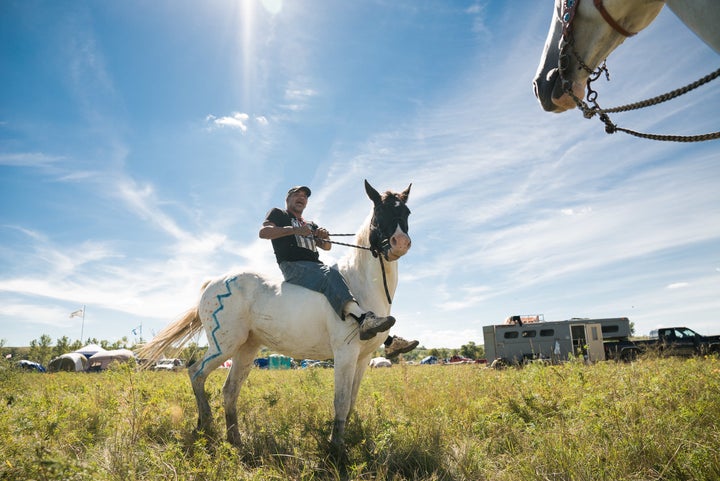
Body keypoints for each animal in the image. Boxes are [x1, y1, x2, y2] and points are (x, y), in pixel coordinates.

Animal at [141, 179, 410, 450]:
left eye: (406, 212)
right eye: (380, 212)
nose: (400, 243)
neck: (360, 282)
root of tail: (213, 283)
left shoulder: (362, 358)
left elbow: (352, 401)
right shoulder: (345, 353)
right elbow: (341, 403)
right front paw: (336, 449)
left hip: (246, 349)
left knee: (229, 390)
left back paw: (234, 439)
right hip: (223, 345)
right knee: (196, 373)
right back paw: (206, 425)